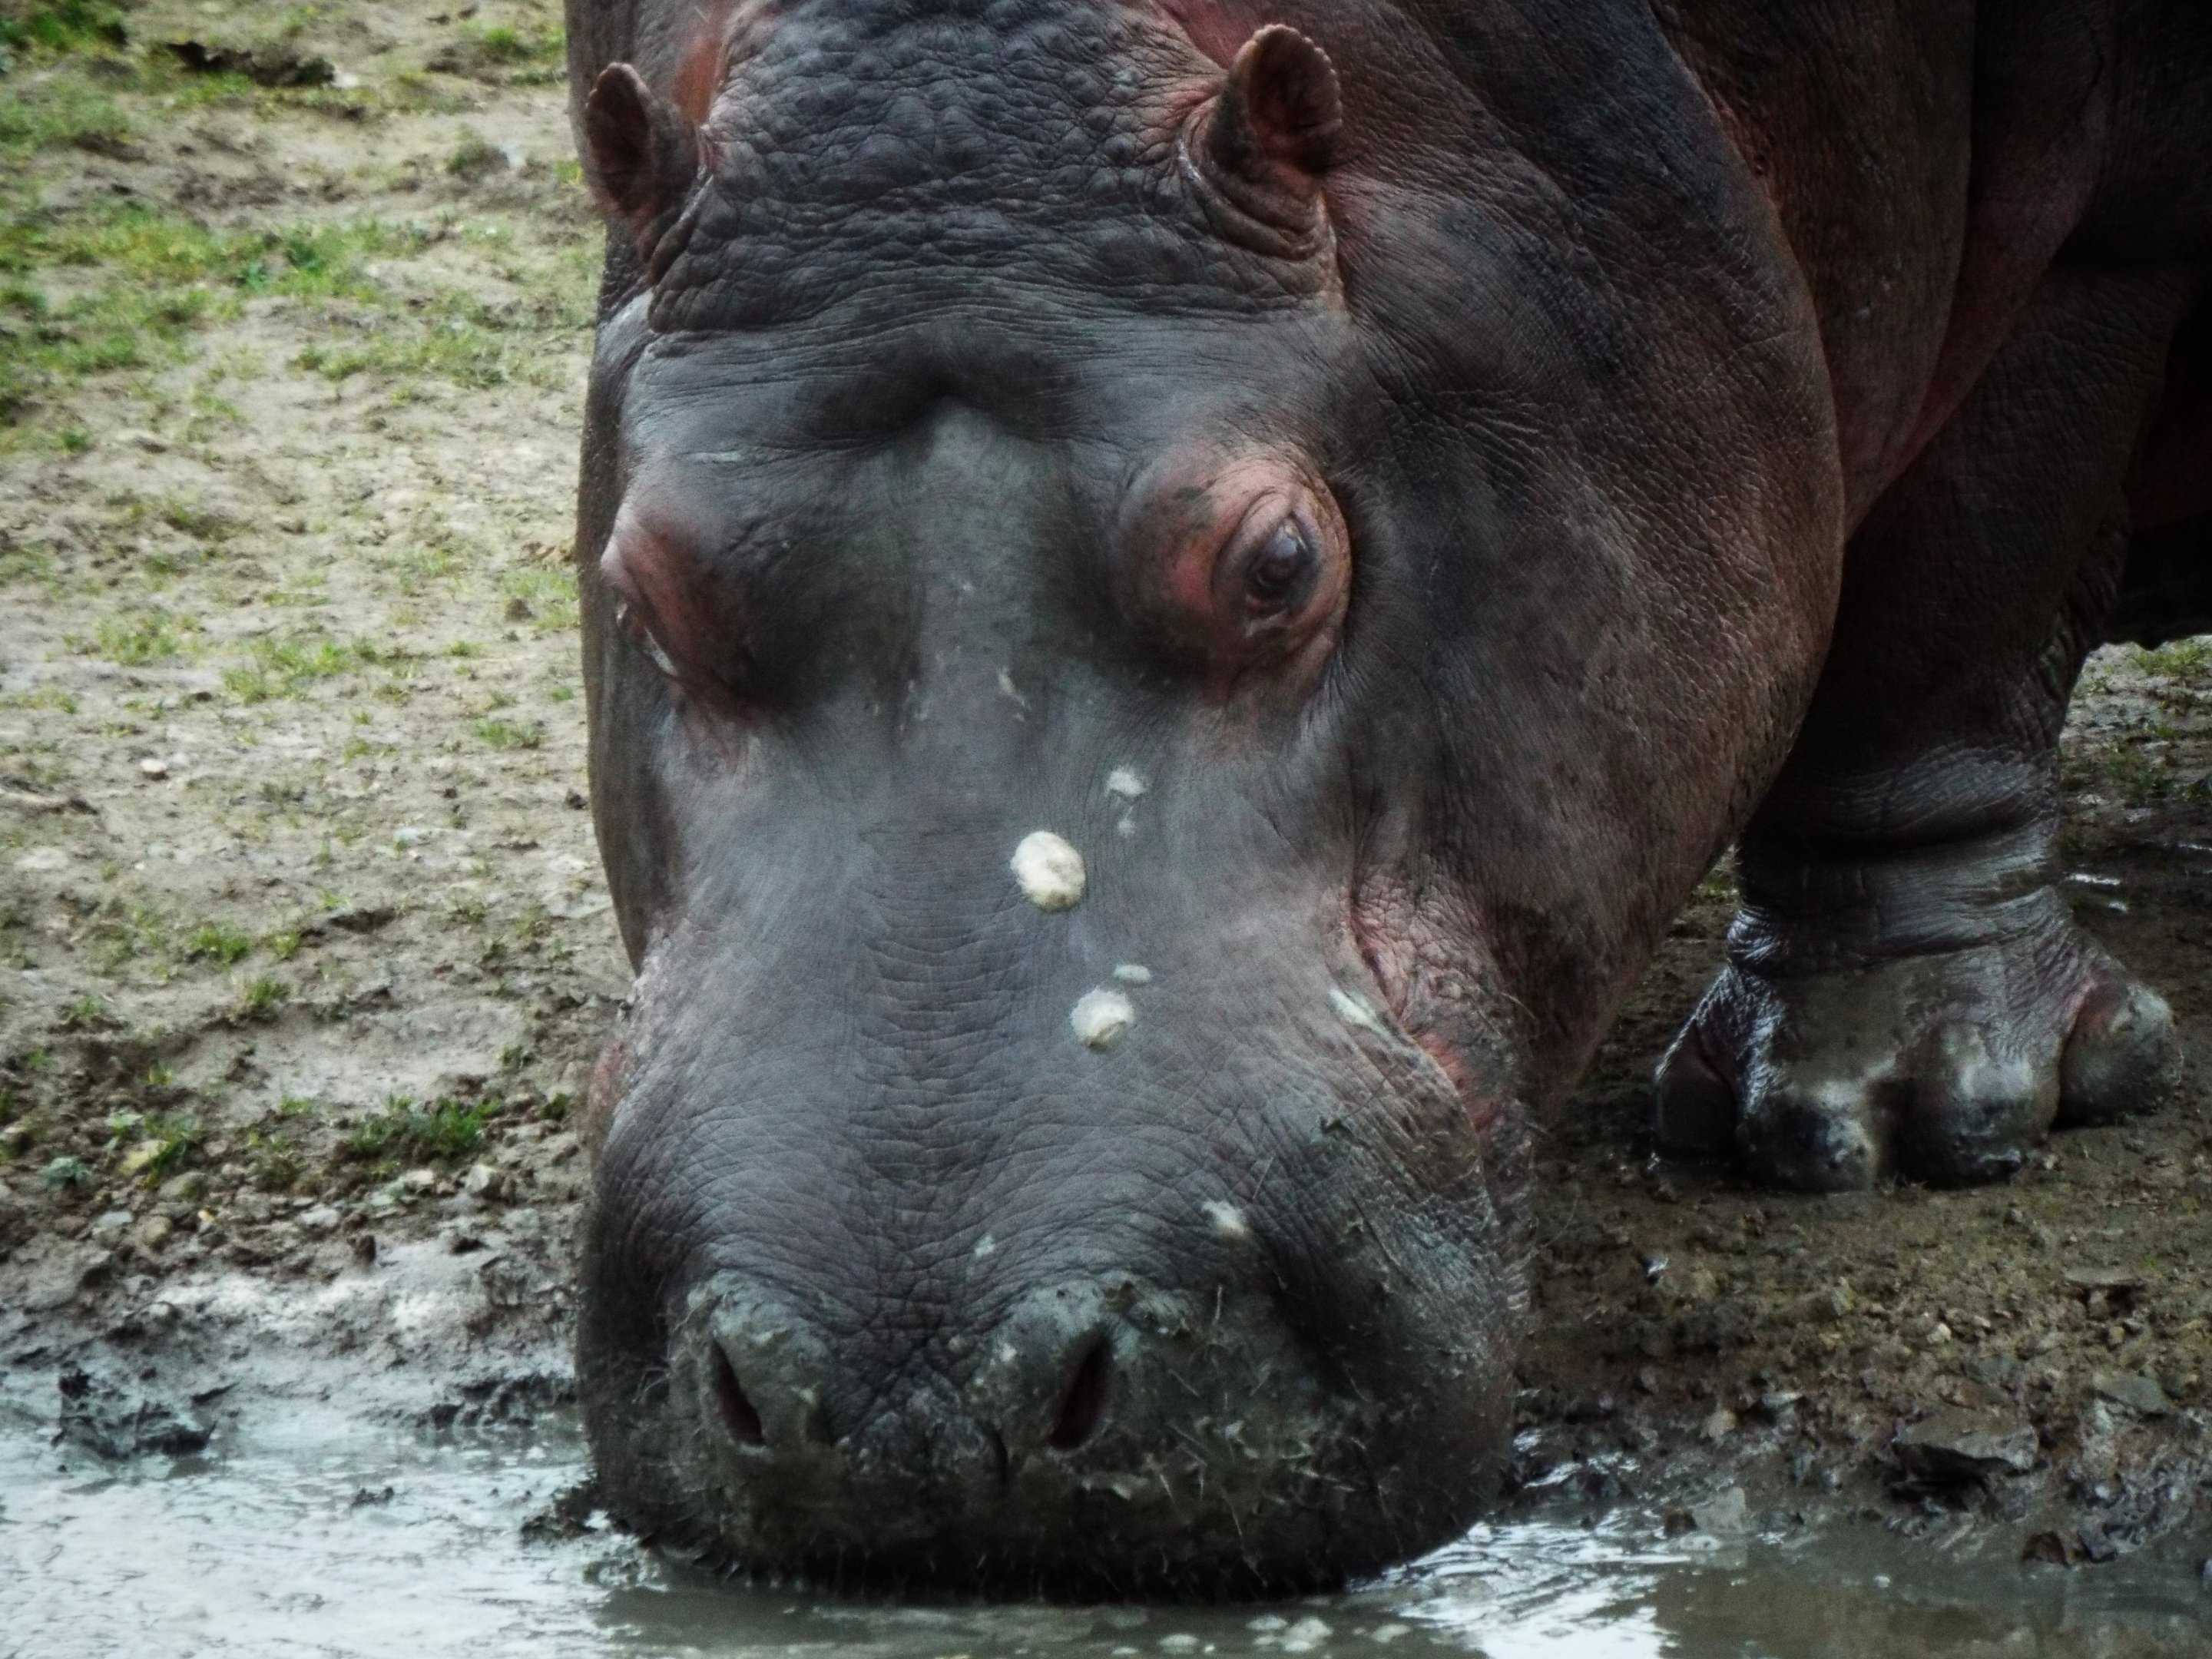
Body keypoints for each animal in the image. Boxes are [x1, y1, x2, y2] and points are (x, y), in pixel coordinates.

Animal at [562, 0, 2211, 1591]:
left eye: (1280, 560)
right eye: (642, 581)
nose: (919, 1399)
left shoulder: (2110, 223)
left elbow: (1958, 586)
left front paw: (1895, 1108)